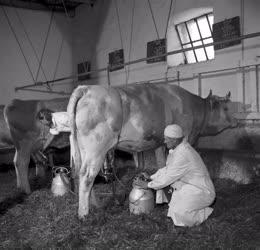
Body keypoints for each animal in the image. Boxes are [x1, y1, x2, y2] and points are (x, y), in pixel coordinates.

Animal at [67, 83, 238, 218]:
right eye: (226, 108)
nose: (237, 121)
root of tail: (87, 88)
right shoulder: (186, 135)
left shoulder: (159, 144)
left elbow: (163, 165)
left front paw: (163, 195)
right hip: (96, 147)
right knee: (87, 176)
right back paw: (84, 214)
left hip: (83, 148)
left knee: (81, 174)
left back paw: (95, 205)